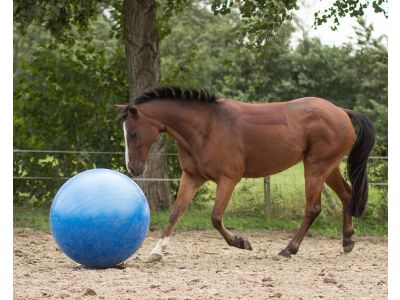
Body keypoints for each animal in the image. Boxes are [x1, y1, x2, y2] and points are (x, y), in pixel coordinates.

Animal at [115, 85, 376, 262]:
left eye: (133, 133)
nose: (134, 169)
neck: (206, 128)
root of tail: (341, 112)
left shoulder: (228, 180)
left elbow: (215, 217)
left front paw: (241, 242)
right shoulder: (191, 177)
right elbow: (175, 213)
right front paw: (156, 251)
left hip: (315, 167)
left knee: (313, 208)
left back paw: (288, 250)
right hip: (327, 168)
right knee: (346, 194)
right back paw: (347, 241)